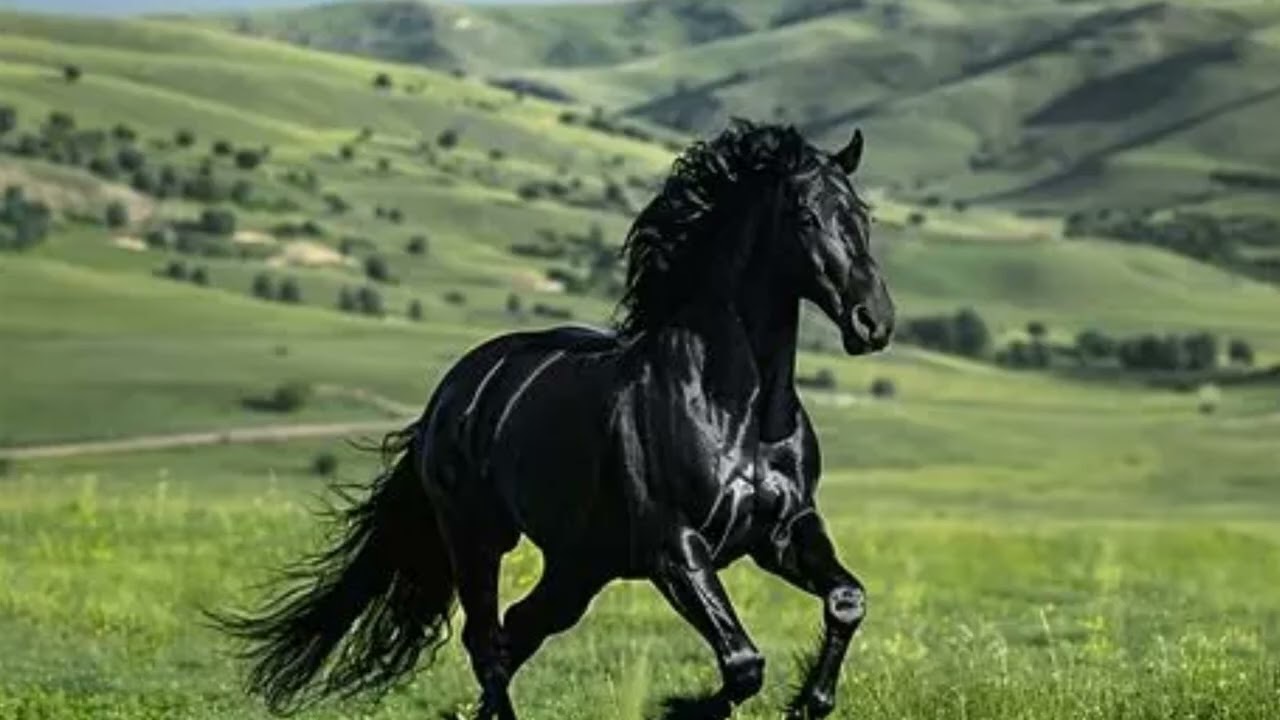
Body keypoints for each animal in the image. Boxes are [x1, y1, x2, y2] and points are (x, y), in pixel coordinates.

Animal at [213, 120, 894, 720]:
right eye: (806, 217)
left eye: (862, 217)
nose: (874, 323)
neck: (737, 412)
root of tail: (454, 393)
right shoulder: (675, 550)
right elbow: (743, 662)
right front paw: (683, 707)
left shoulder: (783, 533)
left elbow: (846, 600)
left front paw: (810, 702)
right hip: (479, 537)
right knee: (487, 641)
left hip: (579, 566)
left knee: (518, 630)